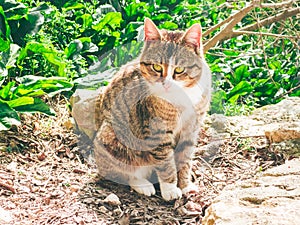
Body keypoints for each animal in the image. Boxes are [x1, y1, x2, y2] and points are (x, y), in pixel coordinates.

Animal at [94, 18, 211, 200]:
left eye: (179, 69)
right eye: (156, 67)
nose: (166, 84)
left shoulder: (191, 129)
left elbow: (184, 158)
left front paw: (185, 185)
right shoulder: (158, 132)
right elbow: (166, 163)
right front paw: (170, 189)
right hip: (111, 136)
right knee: (122, 172)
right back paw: (142, 184)